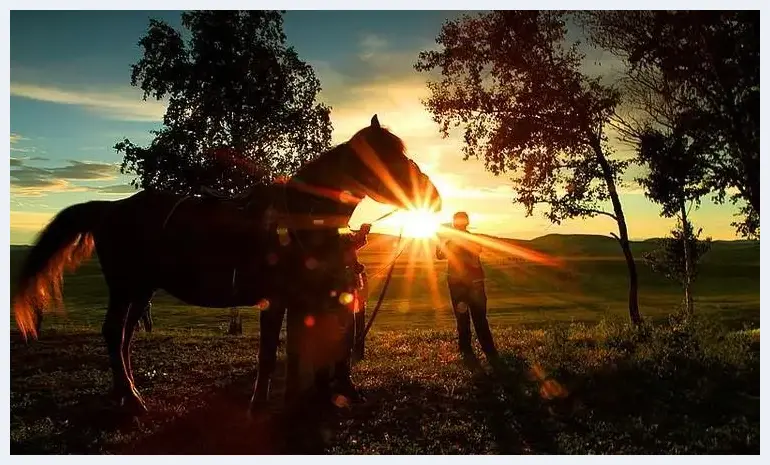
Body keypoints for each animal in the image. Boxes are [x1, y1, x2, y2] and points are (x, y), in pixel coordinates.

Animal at [13, 115, 438, 414]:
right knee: (114, 334)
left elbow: (297, 354)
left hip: (141, 290)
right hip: (126, 288)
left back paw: (126, 393)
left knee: (123, 337)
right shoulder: (276, 300)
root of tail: (109, 209)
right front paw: (260, 405)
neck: (297, 217)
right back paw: (131, 399)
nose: (432, 195)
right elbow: (270, 354)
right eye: (390, 157)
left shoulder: (300, 300)